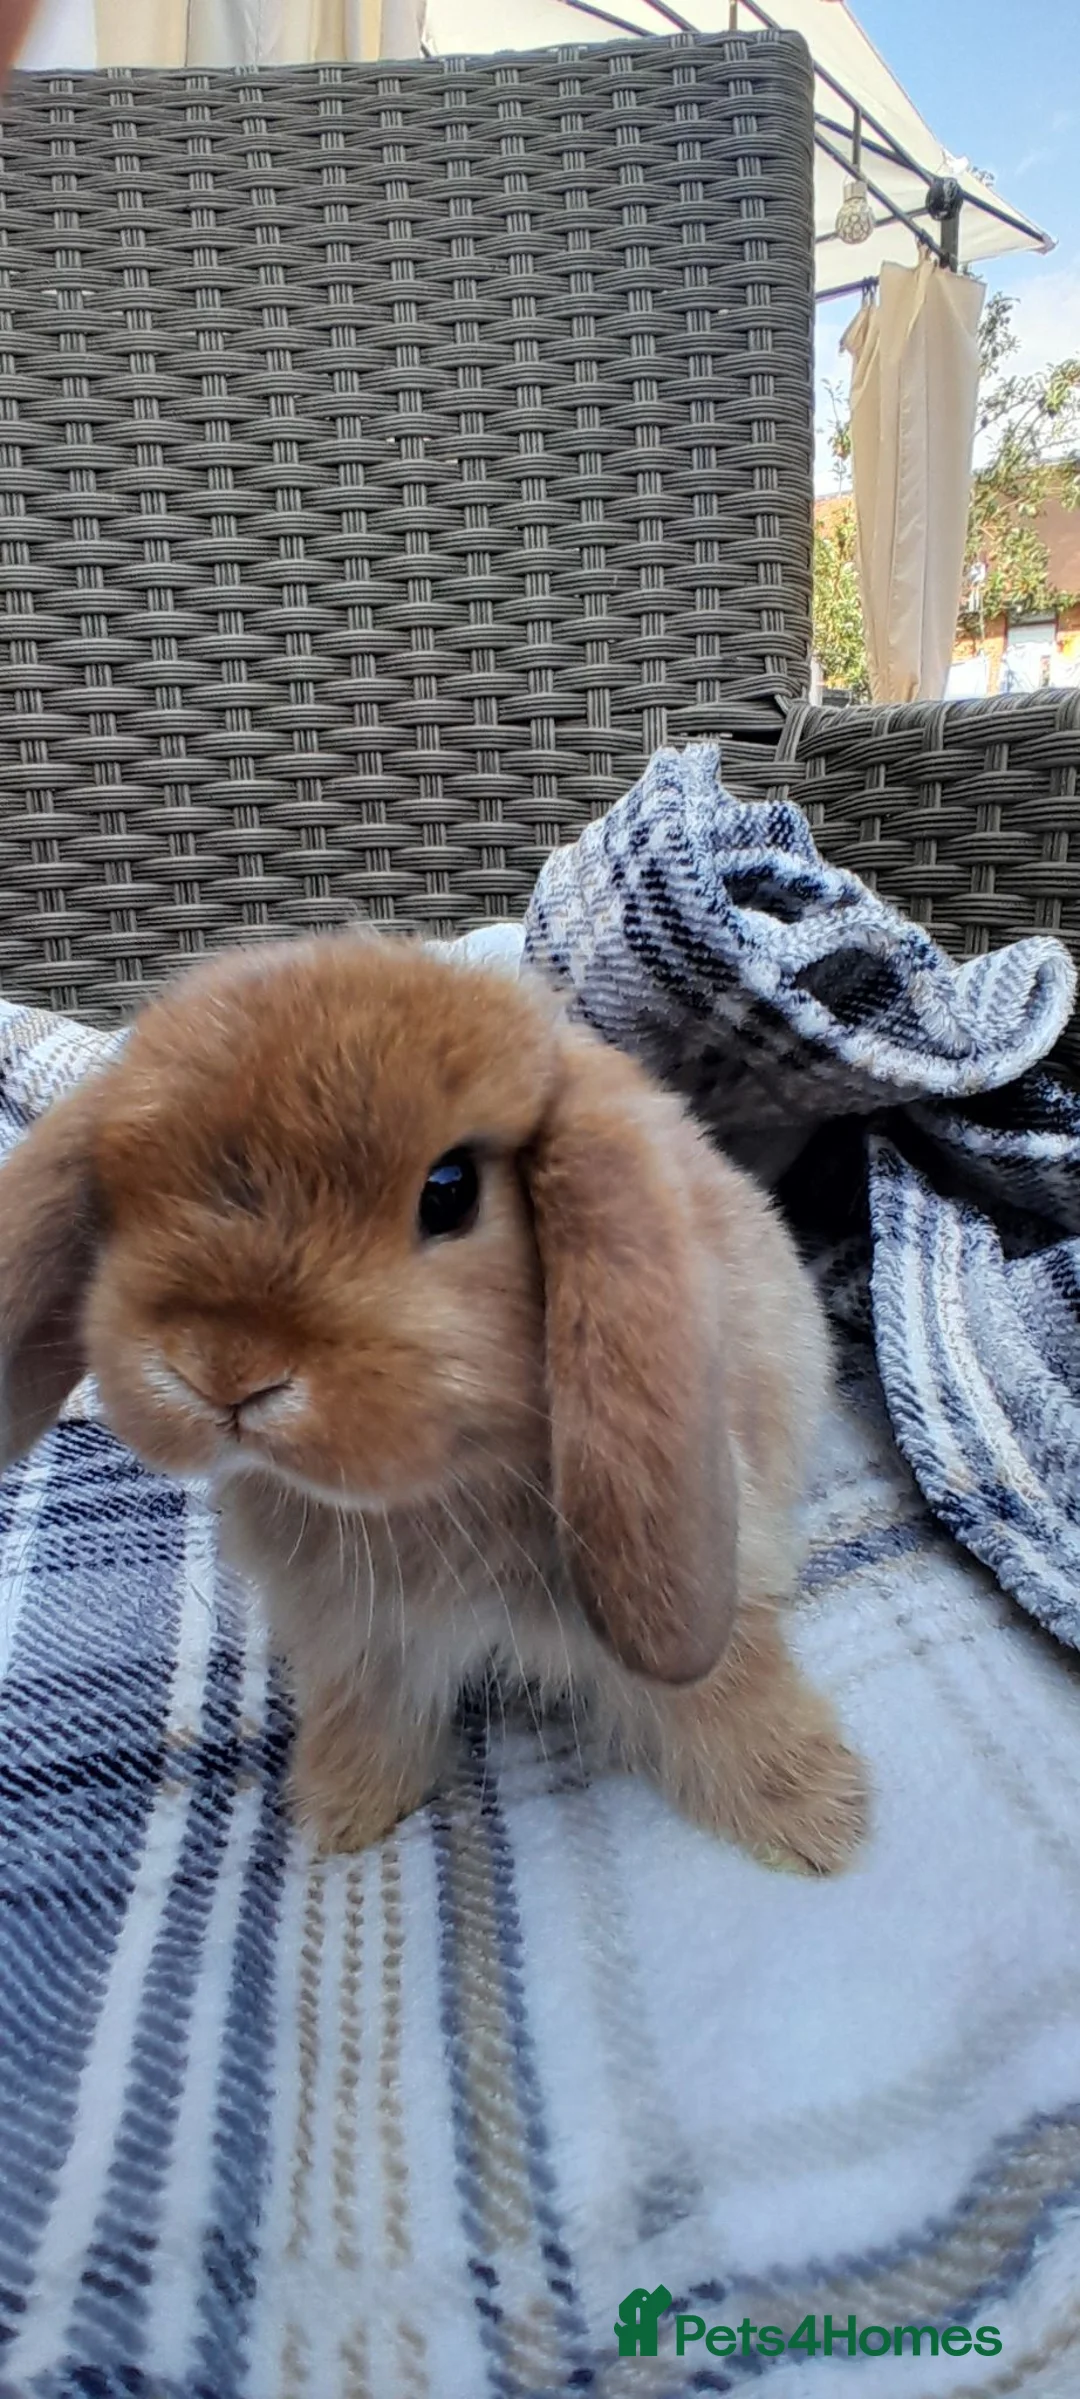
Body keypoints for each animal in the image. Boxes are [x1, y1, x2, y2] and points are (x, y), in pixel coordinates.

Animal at [0, 934, 866, 1871]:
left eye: (449, 1189)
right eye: (121, 1187)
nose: (225, 1370)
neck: (440, 1489)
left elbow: (729, 1692)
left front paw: (816, 1818)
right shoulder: (360, 1635)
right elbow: (368, 1715)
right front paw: (342, 1814)